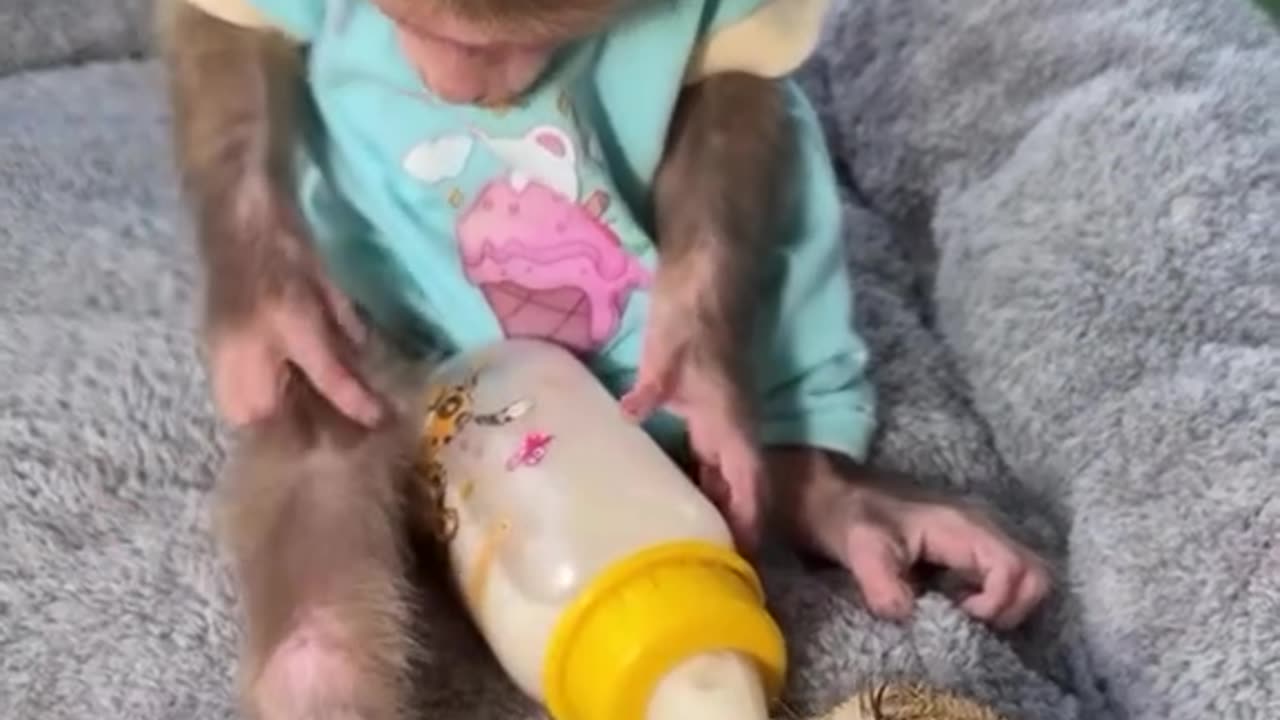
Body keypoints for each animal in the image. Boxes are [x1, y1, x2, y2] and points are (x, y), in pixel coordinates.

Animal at [157, 0, 1049, 712]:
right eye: (425, 33)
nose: (460, 91)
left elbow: (734, 84)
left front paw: (700, 373)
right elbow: (231, 41)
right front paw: (272, 316)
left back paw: (831, 495)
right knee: (323, 454)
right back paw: (317, 671)